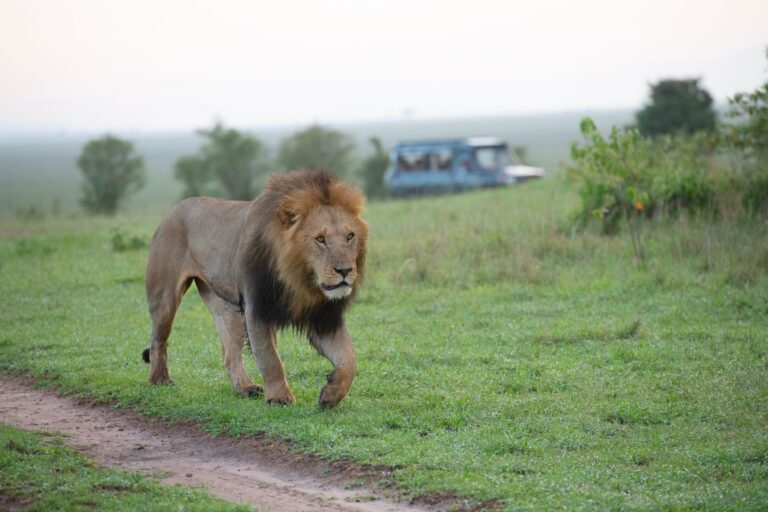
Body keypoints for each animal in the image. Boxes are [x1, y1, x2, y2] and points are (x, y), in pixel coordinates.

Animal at [141, 169, 368, 407]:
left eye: (350, 236)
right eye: (320, 239)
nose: (345, 271)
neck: (300, 280)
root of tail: (173, 208)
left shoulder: (323, 316)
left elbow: (350, 358)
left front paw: (331, 394)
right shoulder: (256, 308)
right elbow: (270, 358)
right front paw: (280, 398)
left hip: (227, 309)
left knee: (230, 355)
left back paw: (246, 388)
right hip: (164, 298)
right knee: (158, 342)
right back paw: (159, 380)